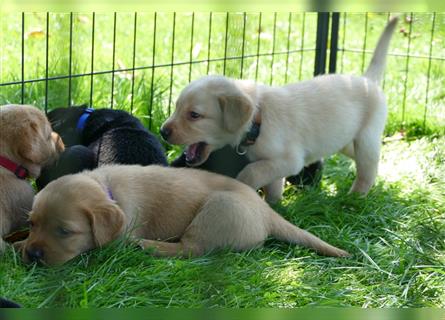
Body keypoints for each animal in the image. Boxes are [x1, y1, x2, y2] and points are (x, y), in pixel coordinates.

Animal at [20, 164, 346, 266]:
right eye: (32, 224)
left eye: (65, 232)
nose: (33, 255)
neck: (107, 188)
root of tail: (266, 212)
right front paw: (17, 244)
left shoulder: (121, 234)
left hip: (219, 209)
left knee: (191, 250)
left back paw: (149, 246)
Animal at [161, 17, 398, 201]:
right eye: (176, 107)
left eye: (194, 115)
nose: (163, 132)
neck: (258, 119)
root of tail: (368, 80)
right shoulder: (272, 163)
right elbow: (272, 186)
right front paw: (274, 206)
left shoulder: (289, 160)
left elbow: (250, 173)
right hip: (345, 140)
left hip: (366, 138)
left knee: (367, 169)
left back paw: (355, 197)